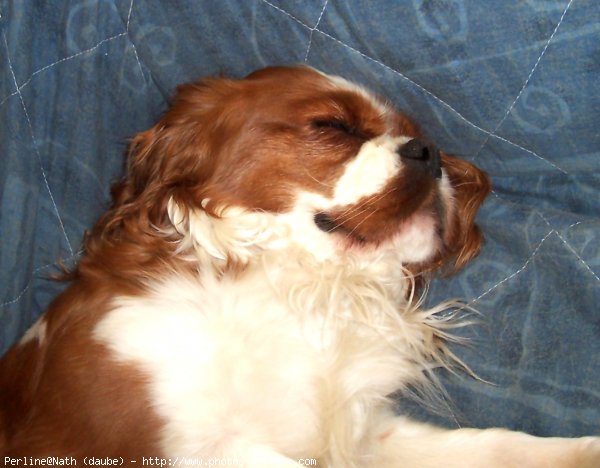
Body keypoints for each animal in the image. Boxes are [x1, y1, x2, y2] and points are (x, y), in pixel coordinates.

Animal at [1, 65, 600, 464]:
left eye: (421, 136)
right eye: (333, 127)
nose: (428, 152)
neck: (304, 285)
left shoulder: (364, 434)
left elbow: (500, 446)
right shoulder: (184, 445)